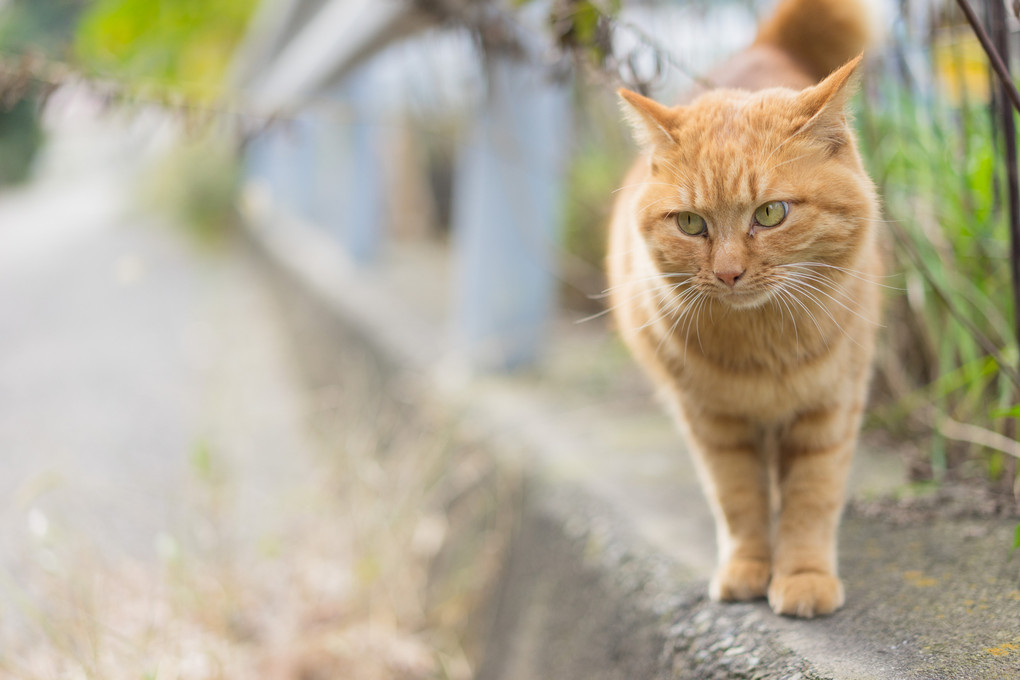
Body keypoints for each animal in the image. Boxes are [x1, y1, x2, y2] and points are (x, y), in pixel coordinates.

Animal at [607, 0, 881, 615]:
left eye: (771, 213)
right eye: (691, 223)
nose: (729, 272)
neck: (764, 344)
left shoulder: (829, 409)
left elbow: (811, 497)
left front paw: (802, 574)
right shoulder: (713, 422)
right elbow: (738, 501)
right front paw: (749, 568)